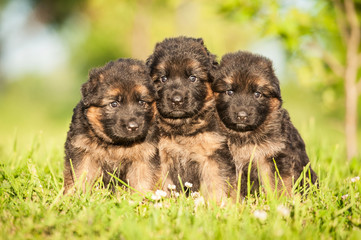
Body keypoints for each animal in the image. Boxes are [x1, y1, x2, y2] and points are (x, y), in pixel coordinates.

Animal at [63, 59, 159, 194]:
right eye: (114, 104)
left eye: (142, 102)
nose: (133, 126)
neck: (116, 143)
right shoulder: (83, 152)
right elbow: (80, 176)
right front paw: (75, 196)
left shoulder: (144, 157)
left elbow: (143, 183)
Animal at [146, 35, 236, 201]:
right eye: (163, 78)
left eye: (192, 78)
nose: (176, 100)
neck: (183, 128)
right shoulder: (162, 157)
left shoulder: (212, 155)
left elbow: (217, 184)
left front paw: (219, 204)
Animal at [212, 51, 316, 197]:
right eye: (229, 92)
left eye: (257, 94)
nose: (242, 116)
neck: (243, 135)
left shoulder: (272, 157)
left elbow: (277, 185)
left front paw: (280, 201)